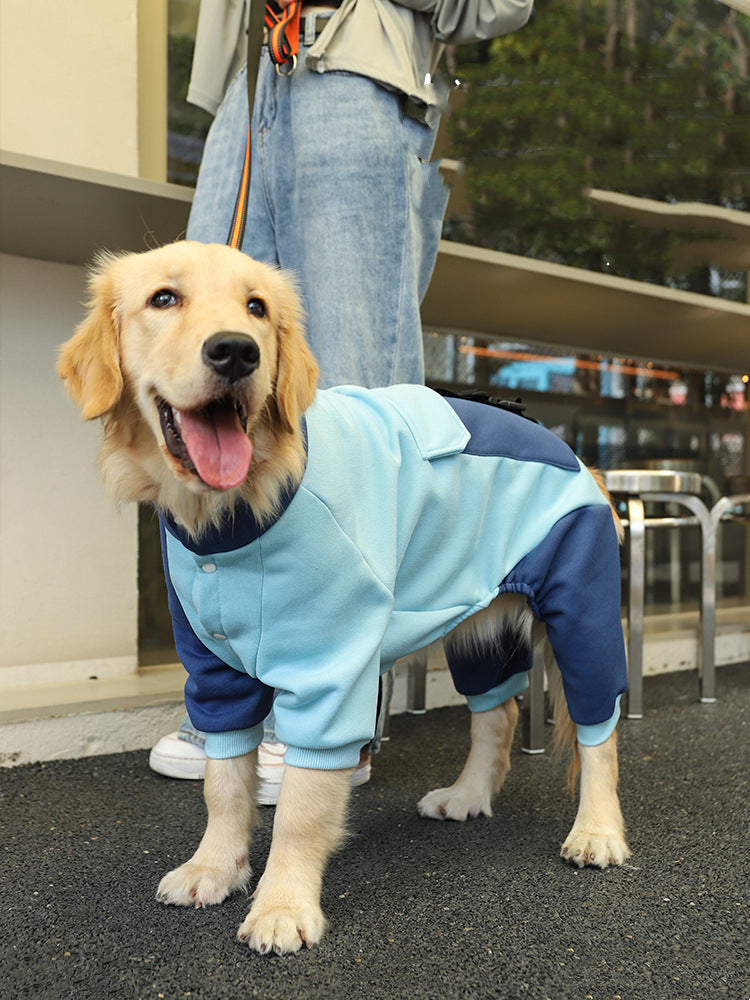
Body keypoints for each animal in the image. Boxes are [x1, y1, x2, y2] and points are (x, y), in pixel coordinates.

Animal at [60, 240, 636, 952]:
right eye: (163, 299)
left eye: (257, 308)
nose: (236, 352)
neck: (242, 511)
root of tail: (560, 441)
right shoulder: (214, 672)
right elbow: (224, 784)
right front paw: (214, 867)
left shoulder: (328, 677)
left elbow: (301, 808)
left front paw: (283, 904)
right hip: (476, 622)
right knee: (497, 714)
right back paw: (468, 795)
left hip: (579, 608)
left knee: (597, 729)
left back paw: (598, 830)